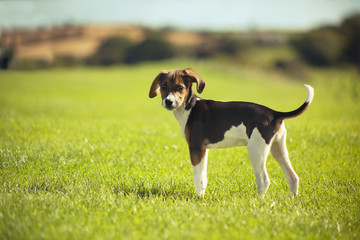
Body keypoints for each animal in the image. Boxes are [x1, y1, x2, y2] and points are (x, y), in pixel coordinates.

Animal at [148, 68, 312, 196]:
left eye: (180, 87)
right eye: (163, 86)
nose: (168, 101)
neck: (190, 107)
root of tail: (274, 113)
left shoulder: (195, 148)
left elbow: (197, 178)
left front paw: (198, 197)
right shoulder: (203, 150)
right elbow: (203, 177)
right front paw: (202, 195)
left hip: (256, 150)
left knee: (264, 180)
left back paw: (257, 201)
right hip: (278, 149)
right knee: (293, 177)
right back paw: (292, 199)